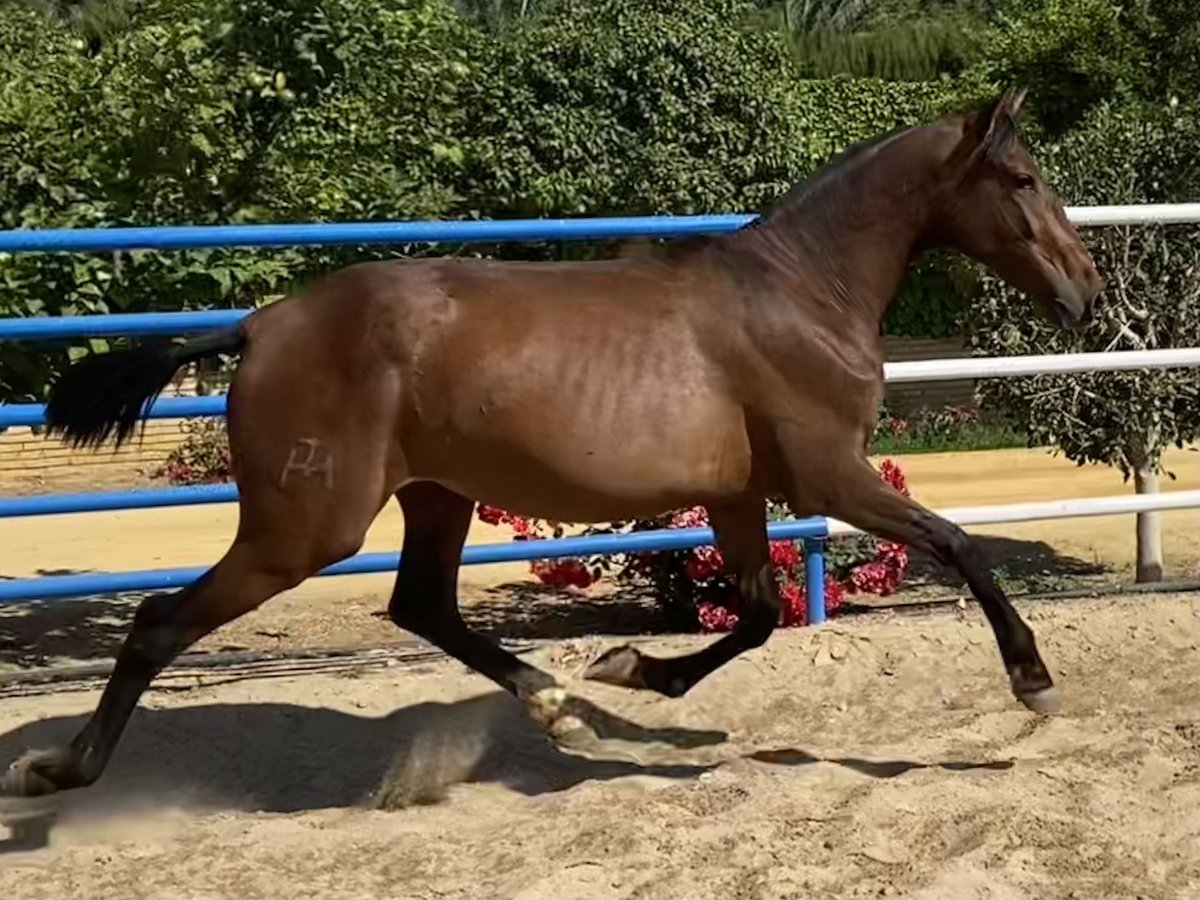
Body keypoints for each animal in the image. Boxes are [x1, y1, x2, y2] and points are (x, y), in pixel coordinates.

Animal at [2, 88, 1104, 801]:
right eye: (1022, 176)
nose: (1086, 293)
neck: (798, 295)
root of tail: (258, 325)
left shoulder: (739, 494)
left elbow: (755, 614)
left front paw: (630, 673)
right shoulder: (829, 477)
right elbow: (956, 544)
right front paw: (1035, 684)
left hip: (435, 494)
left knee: (422, 606)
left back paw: (561, 707)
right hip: (305, 526)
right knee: (158, 623)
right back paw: (56, 771)